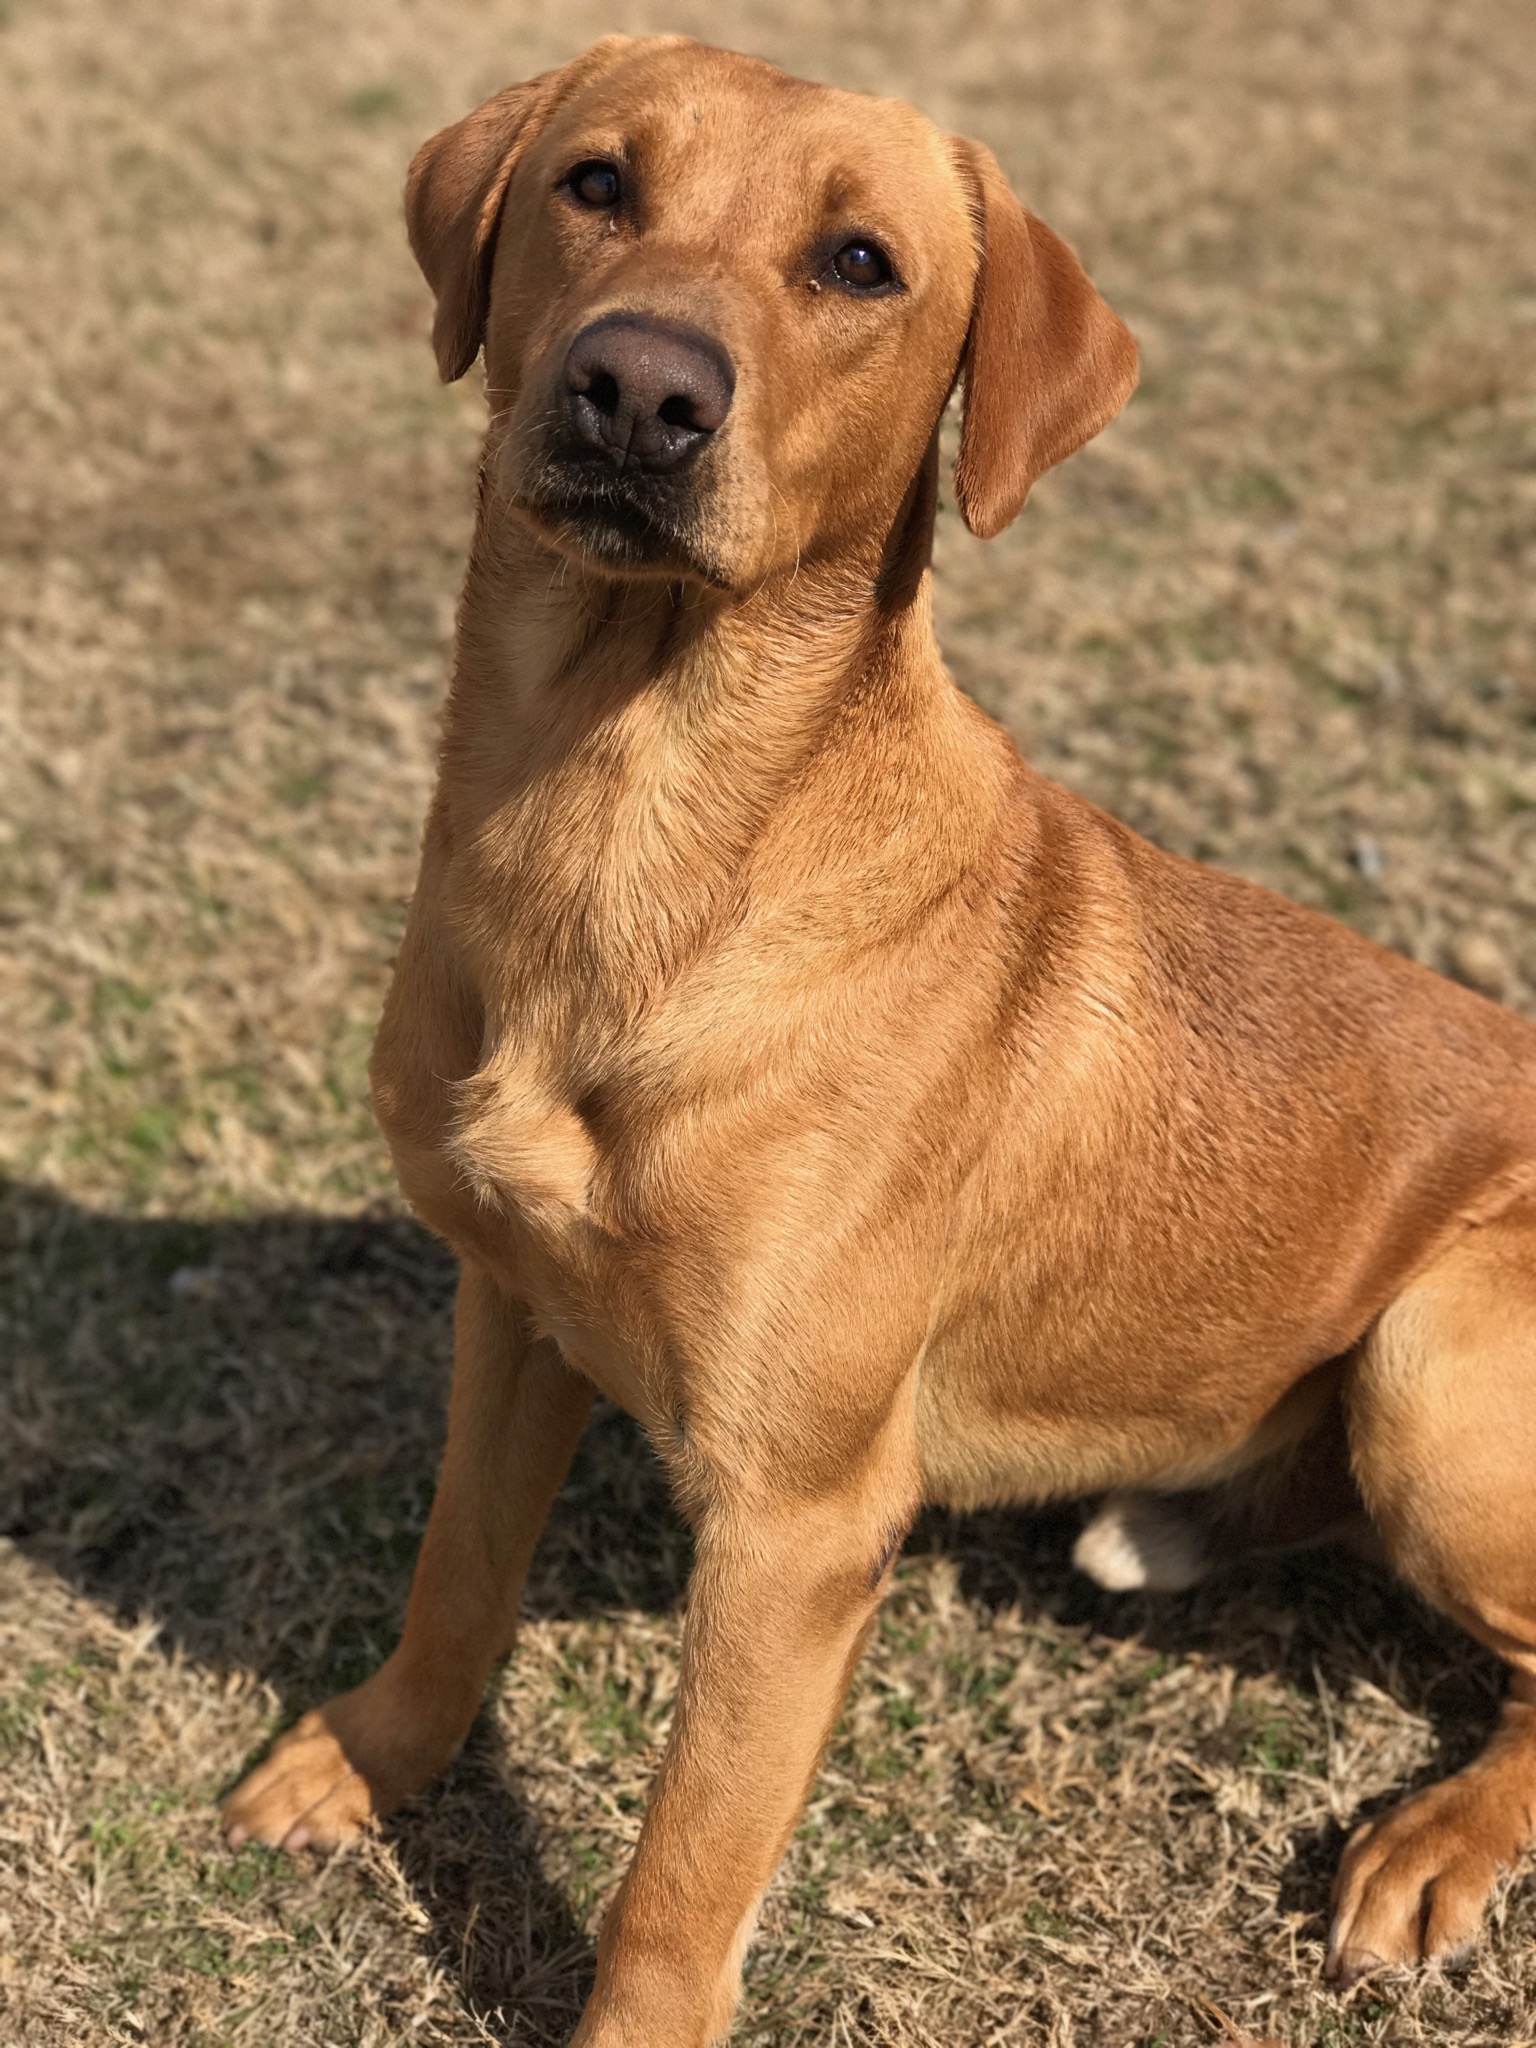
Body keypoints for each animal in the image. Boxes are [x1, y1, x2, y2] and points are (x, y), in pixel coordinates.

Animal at [222, 36, 1536, 2048]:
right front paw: (371, 1757)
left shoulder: (798, 1522)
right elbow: (457, 1574)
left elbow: (679, 1877)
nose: (640, 387)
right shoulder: (512, 1307)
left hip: (1439, 1365)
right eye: (595, 182)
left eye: (860, 264)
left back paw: (1438, 1842)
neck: (624, 825)